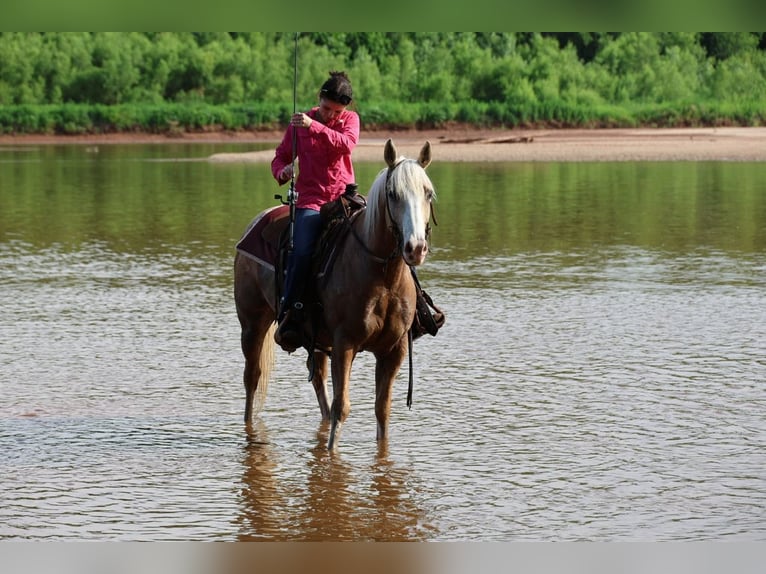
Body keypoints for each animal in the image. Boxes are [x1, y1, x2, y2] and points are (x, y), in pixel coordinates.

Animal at [234, 139, 435, 450]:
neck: (382, 277)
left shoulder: (394, 350)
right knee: (252, 378)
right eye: (393, 194)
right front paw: (332, 455)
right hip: (252, 323)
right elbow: (343, 407)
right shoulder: (345, 344)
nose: (415, 248)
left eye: (428, 193)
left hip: (314, 338)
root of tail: (258, 220)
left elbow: (382, 409)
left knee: (317, 379)